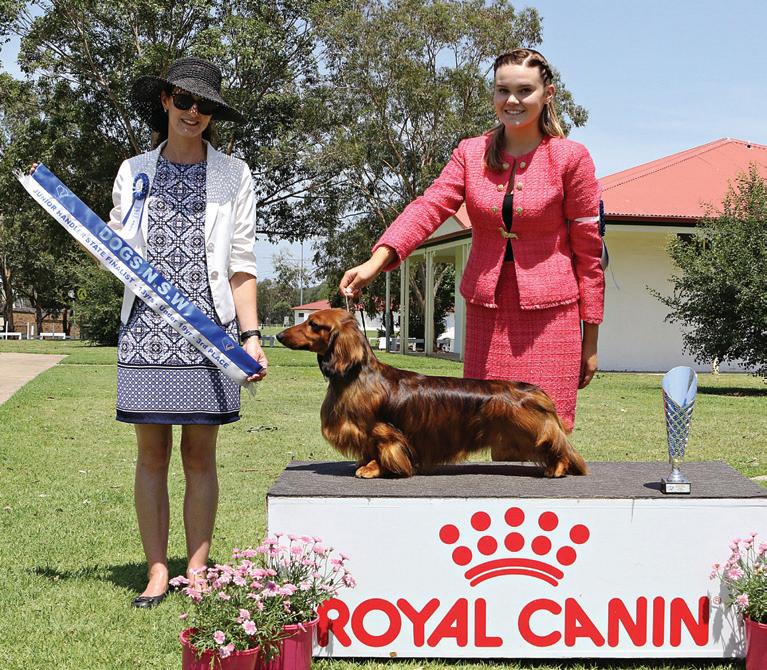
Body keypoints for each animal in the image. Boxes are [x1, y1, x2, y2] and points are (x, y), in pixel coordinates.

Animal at [276, 308, 587, 479]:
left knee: (558, 446)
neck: (356, 375)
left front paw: (373, 468)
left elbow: (382, 451)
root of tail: (533, 390)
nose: (279, 335)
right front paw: (365, 463)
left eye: (313, 324)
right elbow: (366, 450)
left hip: (531, 430)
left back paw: (557, 468)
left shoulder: (382, 432)